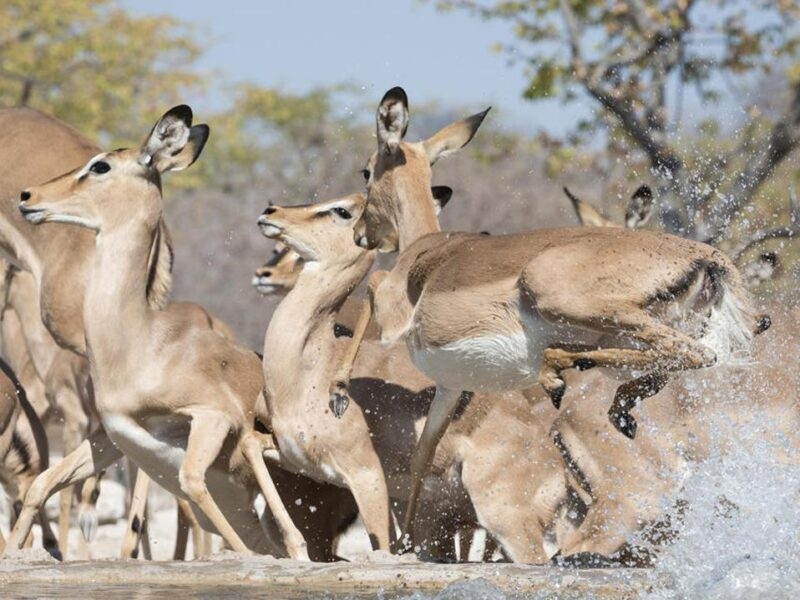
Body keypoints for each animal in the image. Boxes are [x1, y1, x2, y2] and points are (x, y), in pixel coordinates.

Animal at [5, 106, 309, 559]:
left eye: (101, 166)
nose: (28, 197)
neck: (140, 345)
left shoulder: (211, 416)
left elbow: (192, 483)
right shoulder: (112, 434)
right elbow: (43, 483)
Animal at [259, 194, 570, 563]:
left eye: (342, 209)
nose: (271, 213)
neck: (309, 370)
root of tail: (557, 473)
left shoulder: (368, 478)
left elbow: (383, 548)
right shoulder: (297, 458)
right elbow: (252, 445)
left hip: (508, 524)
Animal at [330, 86, 767, 547]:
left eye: (366, 171)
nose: (360, 234)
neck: (428, 248)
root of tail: (706, 256)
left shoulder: (395, 313)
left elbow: (373, 283)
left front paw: (338, 393)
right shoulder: (452, 384)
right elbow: (422, 453)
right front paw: (407, 544)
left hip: (574, 304)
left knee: (691, 353)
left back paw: (559, 371)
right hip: (628, 343)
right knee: (679, 360)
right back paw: (610, 403)